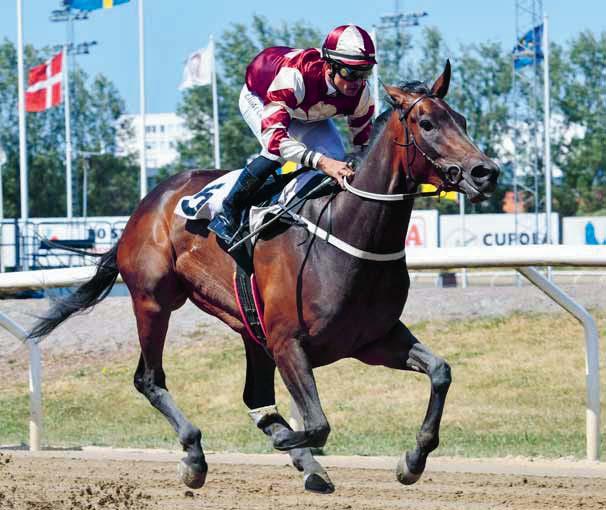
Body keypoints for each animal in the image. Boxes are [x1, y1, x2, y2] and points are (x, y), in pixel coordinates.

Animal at [29, 59, 498, 494]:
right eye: (426, 123)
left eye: (462, 120)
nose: (485, 172)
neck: (347, 230)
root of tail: (148, 202)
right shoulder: (288, 341)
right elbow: (318, 422)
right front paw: (291, 443)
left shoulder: (372, 339)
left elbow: (440, 372)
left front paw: (412, 460)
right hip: (154, 301)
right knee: (149, 378)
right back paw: (195, 455)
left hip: (249, 327)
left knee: (254, 397)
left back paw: (305, 465)